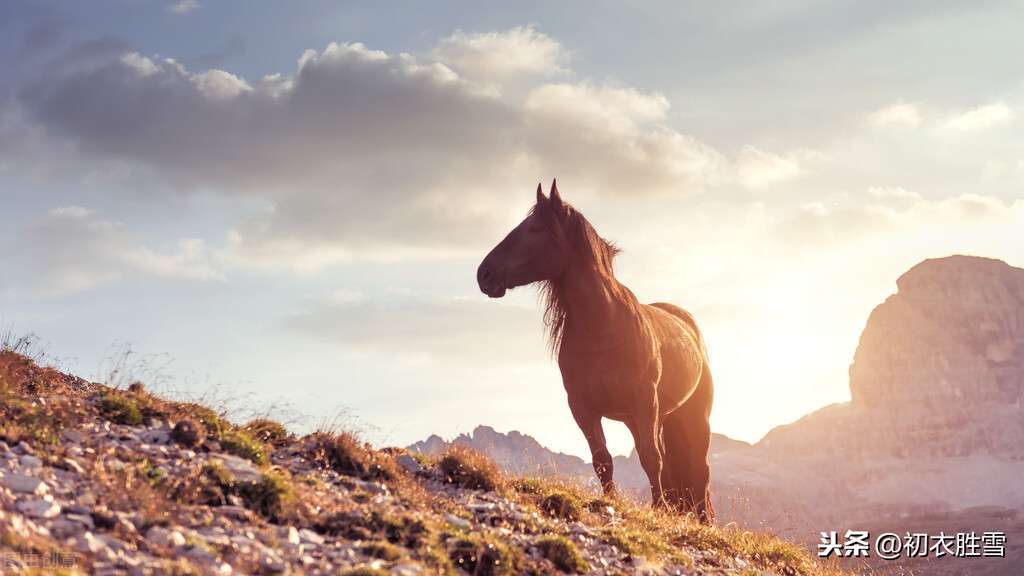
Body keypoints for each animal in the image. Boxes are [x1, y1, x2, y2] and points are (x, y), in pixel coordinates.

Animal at [477, 178, 712, 520]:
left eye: (534, 228)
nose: (484, 274)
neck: (603, 331)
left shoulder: (645, 403)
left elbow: (650, 459)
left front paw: (656, 509)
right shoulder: (583, 408)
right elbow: (603, 461)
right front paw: (613, 505)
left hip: (693, 416)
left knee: (698, 470)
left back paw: (702, 520)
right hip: (641, 419)